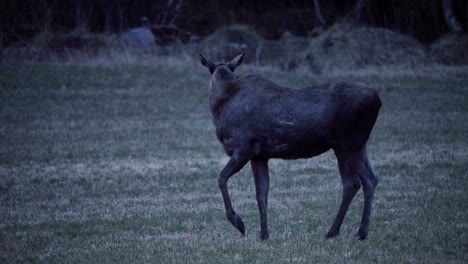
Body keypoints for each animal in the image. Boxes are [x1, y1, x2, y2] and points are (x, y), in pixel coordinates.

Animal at [197, 52, 380, 240]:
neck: (221, 106)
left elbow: (221, 178)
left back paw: (361, 232)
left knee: (367, 180)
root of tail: (378, 100)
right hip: (346, 146)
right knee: (355, 182)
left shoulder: (244, 147)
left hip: (352, 142)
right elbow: (261, 193)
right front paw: (264, 235)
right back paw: (333, 231)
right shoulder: (259, 155)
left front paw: (239, 223)